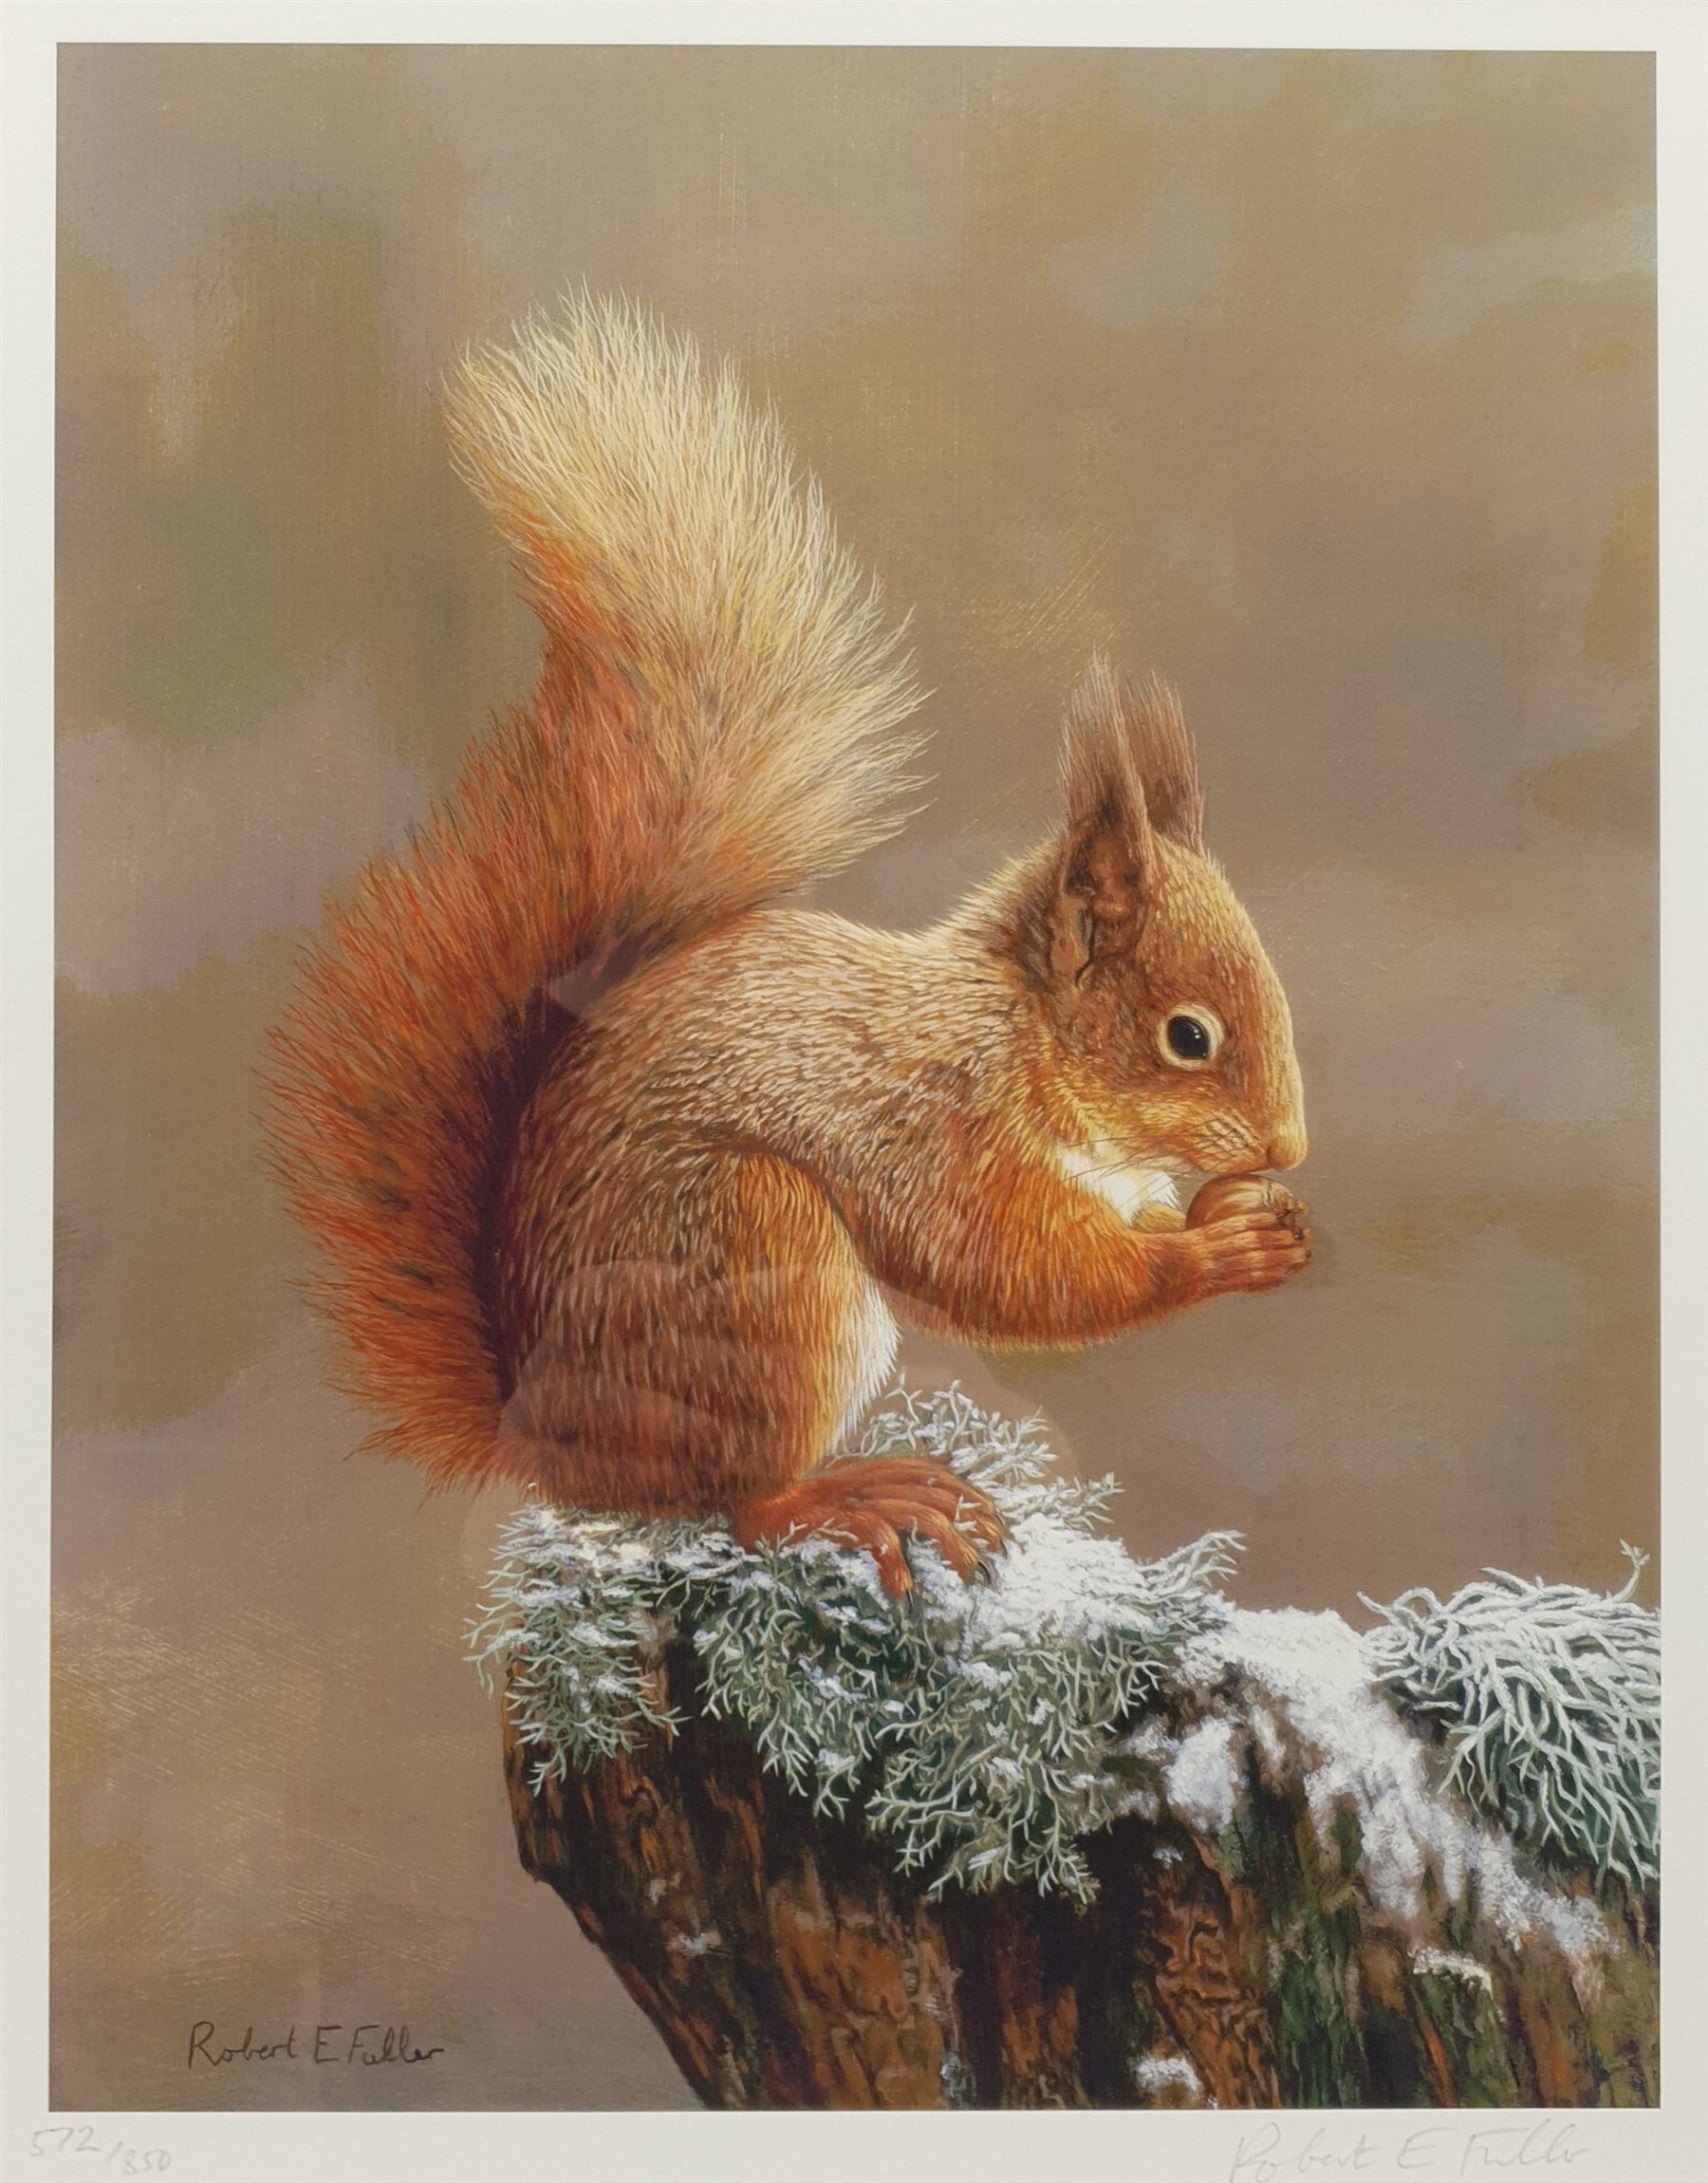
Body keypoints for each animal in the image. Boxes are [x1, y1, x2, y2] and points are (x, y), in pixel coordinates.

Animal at [266, 297, 1310, 1595]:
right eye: (1188, 1035)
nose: (1290, 1145)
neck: (1022, 1038)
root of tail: (543, 1434)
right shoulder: (931, 1124)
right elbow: (1009, 1268)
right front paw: (1219, 1249)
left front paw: (1248, 1211)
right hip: (754, 1260)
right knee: (741, 1498)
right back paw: (856, 1494)